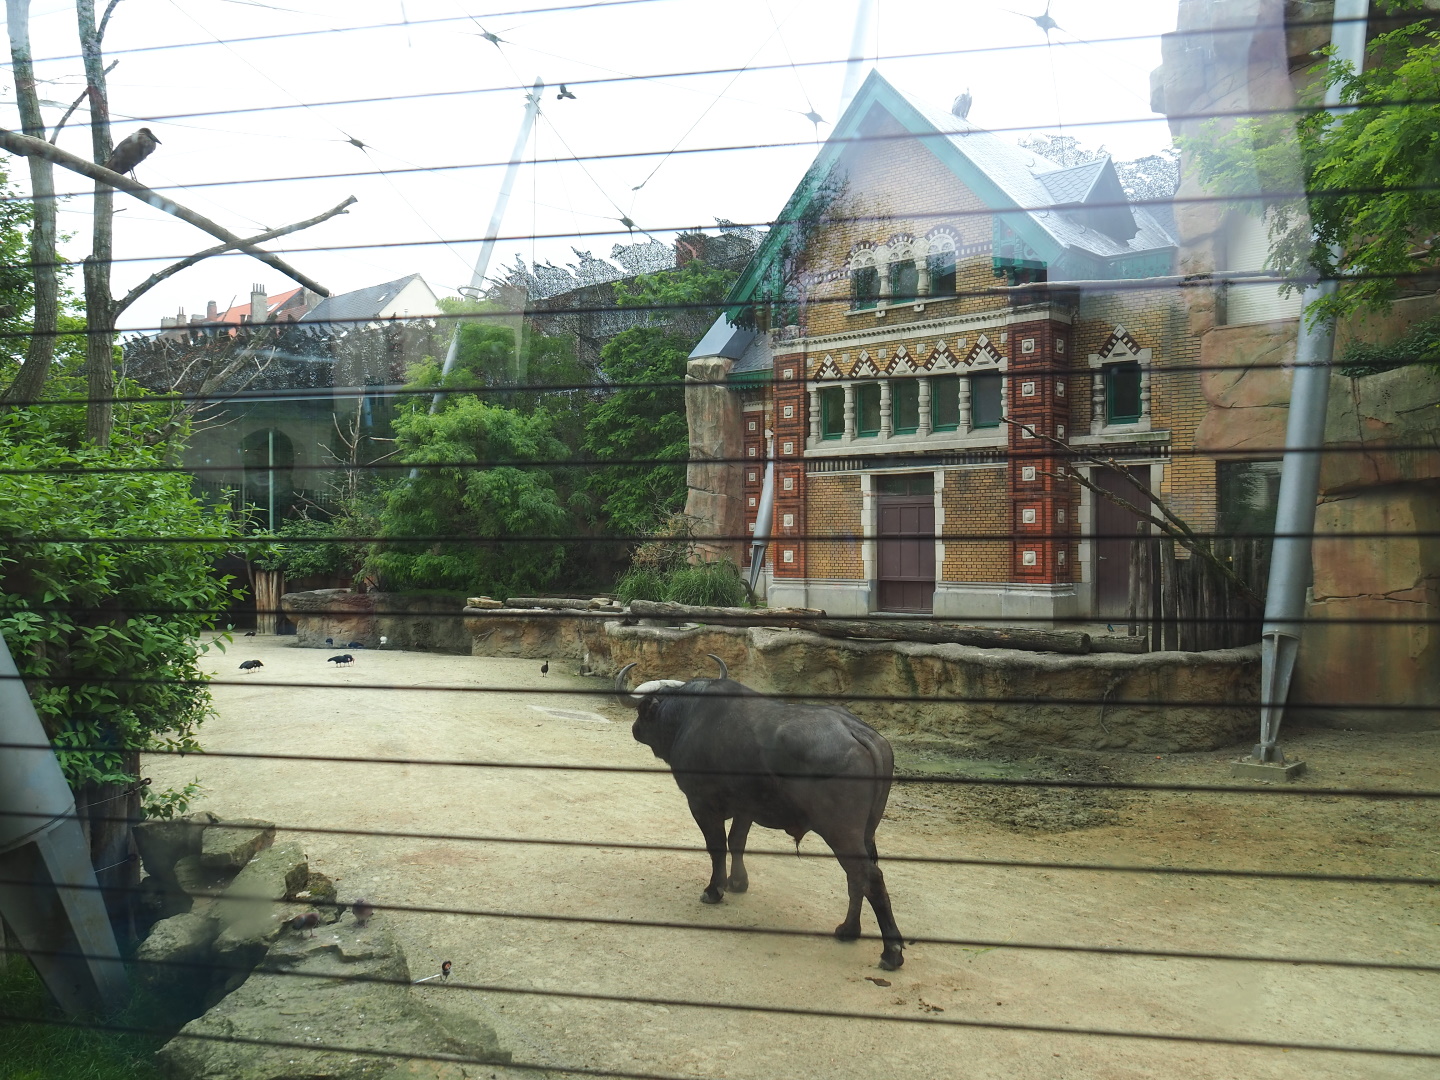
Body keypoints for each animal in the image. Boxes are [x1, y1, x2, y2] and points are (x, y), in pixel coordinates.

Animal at [618, 655, 905, 970]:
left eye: (644, 710)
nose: (635, 728)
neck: (686, 717)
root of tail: (858, 731)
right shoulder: (746, 809)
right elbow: (737, 842)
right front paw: (738, 882)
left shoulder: (701, 804)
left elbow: (717, 847)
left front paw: (714, 889)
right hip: (866, 833)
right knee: (857, 878)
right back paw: (848, 930)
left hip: (841, 832)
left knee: (869, 877)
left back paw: (891, 952)